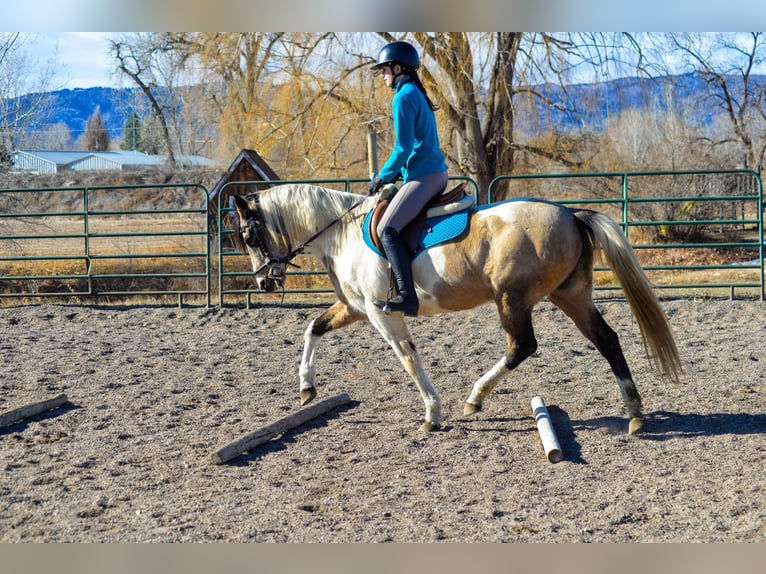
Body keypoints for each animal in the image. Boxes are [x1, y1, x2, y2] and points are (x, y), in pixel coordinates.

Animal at [232, 184, 684, 436]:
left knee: (523, 346)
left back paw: (476, 396)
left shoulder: (382, 313)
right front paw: (306, 387)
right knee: (607, 340)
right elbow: (313, 328)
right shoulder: (356, 308)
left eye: (248, 235)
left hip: (513, 299)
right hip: (570, 295)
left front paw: (433, 414)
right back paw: (635, 413)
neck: (341, 233)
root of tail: (571, 214)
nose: (263, 282)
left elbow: (408, 359)